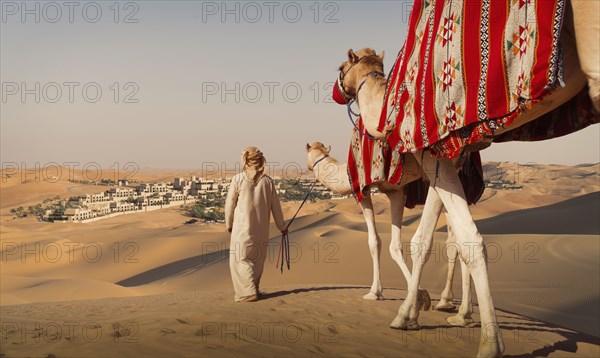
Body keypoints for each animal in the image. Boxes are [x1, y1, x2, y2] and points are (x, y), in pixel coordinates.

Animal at [332, 0, 600, 356]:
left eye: (340, 67)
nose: (335, 92)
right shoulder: (443, 157)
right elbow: (434, 241)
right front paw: (415, 311)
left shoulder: (422, 158)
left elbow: (449, 241)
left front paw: (485, 341)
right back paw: (458, 312)